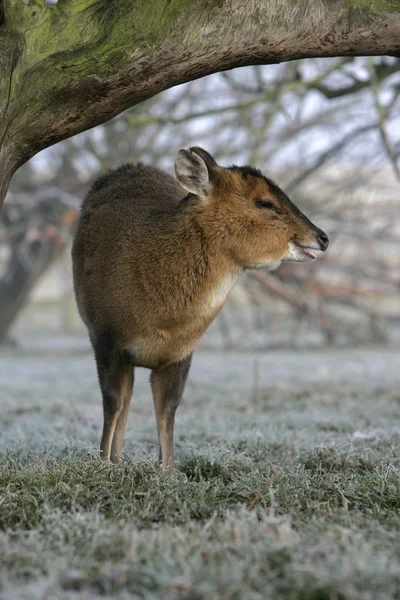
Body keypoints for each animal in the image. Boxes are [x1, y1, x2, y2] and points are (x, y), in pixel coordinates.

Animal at [72, 148, 328, 472]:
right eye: (265, 202)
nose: (322, 237)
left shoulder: (180, 353)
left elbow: (166, 411)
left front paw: (167, 472)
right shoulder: (105, 338)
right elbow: (113, 402)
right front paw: (103, 465)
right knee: (123, 402)